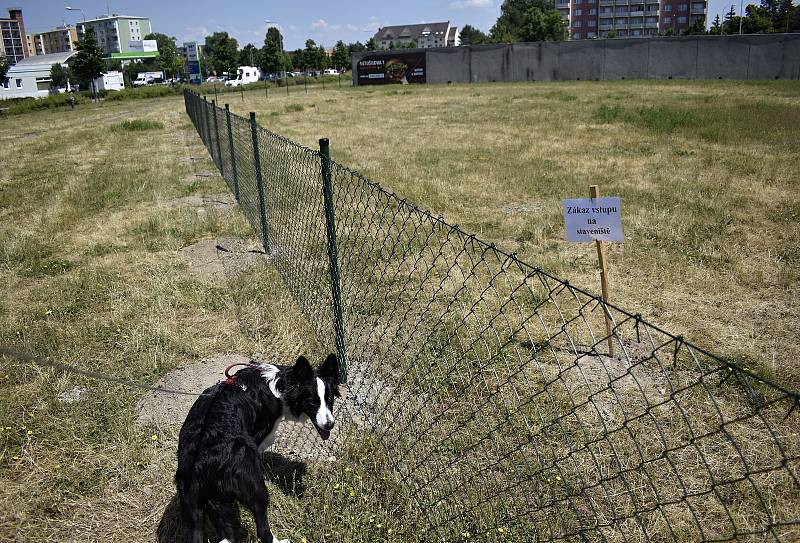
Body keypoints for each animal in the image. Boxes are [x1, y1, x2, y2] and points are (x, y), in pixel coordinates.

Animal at [173, 354, 340, 543]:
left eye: (330, 400)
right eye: (312, 403)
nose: (330, 425)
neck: (279, 385)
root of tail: (201, 463)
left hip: (196, 506)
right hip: (253, 485)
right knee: (262, 530)